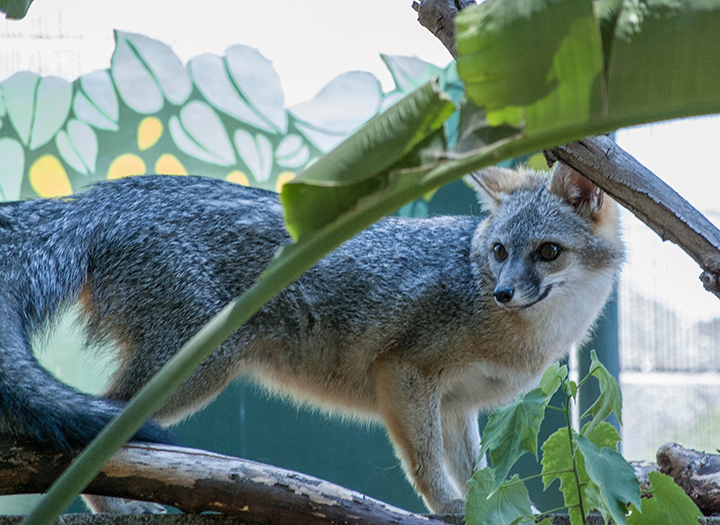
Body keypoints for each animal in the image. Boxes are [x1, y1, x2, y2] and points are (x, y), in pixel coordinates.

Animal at [0, 163, 624, 512]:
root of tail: (105, 195)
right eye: (499, 252)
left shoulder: (457, 404)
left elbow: (480, 475)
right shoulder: (405, 373)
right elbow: (426, 464)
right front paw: (447, 507)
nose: (503, 292)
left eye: (547, 252)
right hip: (191, 371)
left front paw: (480, 506)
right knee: (97, 432)